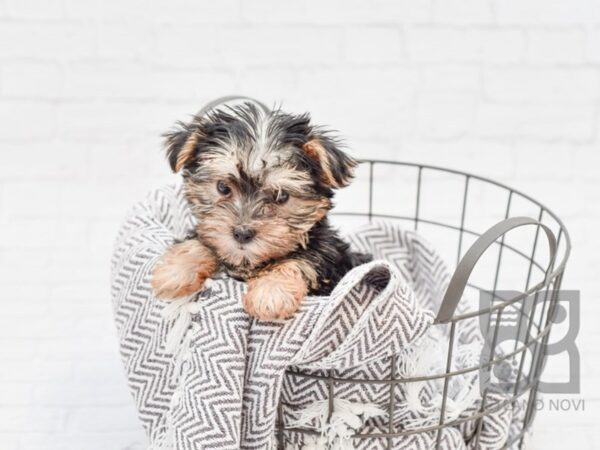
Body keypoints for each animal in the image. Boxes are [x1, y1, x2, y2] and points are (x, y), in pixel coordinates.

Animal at [151, 103, 370, 320]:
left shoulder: (328, 255)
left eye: (281, 196)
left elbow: (301, 260)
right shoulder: (209, 231)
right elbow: (199, 241)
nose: (242, 233)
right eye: (223, 187)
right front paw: (175, 271)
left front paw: (272, 293)